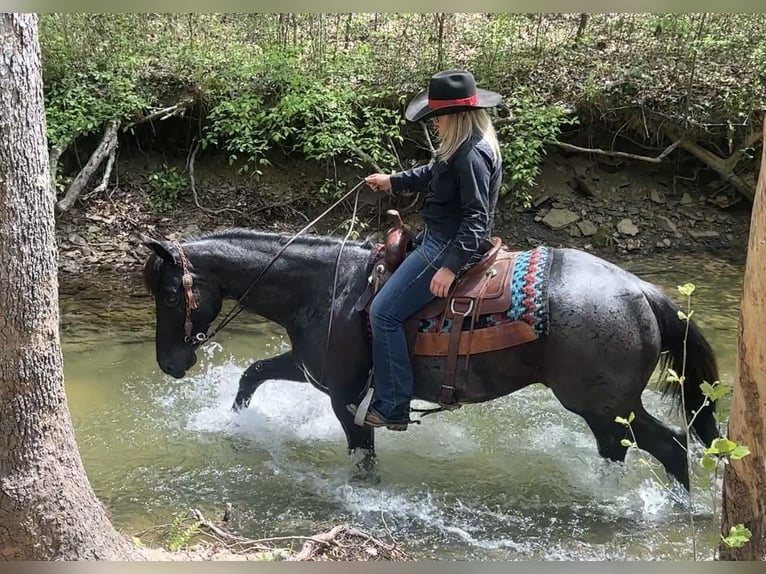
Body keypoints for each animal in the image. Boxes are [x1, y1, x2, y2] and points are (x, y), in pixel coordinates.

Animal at [141, 227, 720, 491]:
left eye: (169, 295)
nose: (170, 365)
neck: (328, 288)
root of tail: (642, 292)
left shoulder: (347, 398)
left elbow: (363, 454)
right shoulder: (314, 372)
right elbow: (253, 374)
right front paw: (238, 425)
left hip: (606, 403)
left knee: (669, 447)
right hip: (603, 409)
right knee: (620, 451)